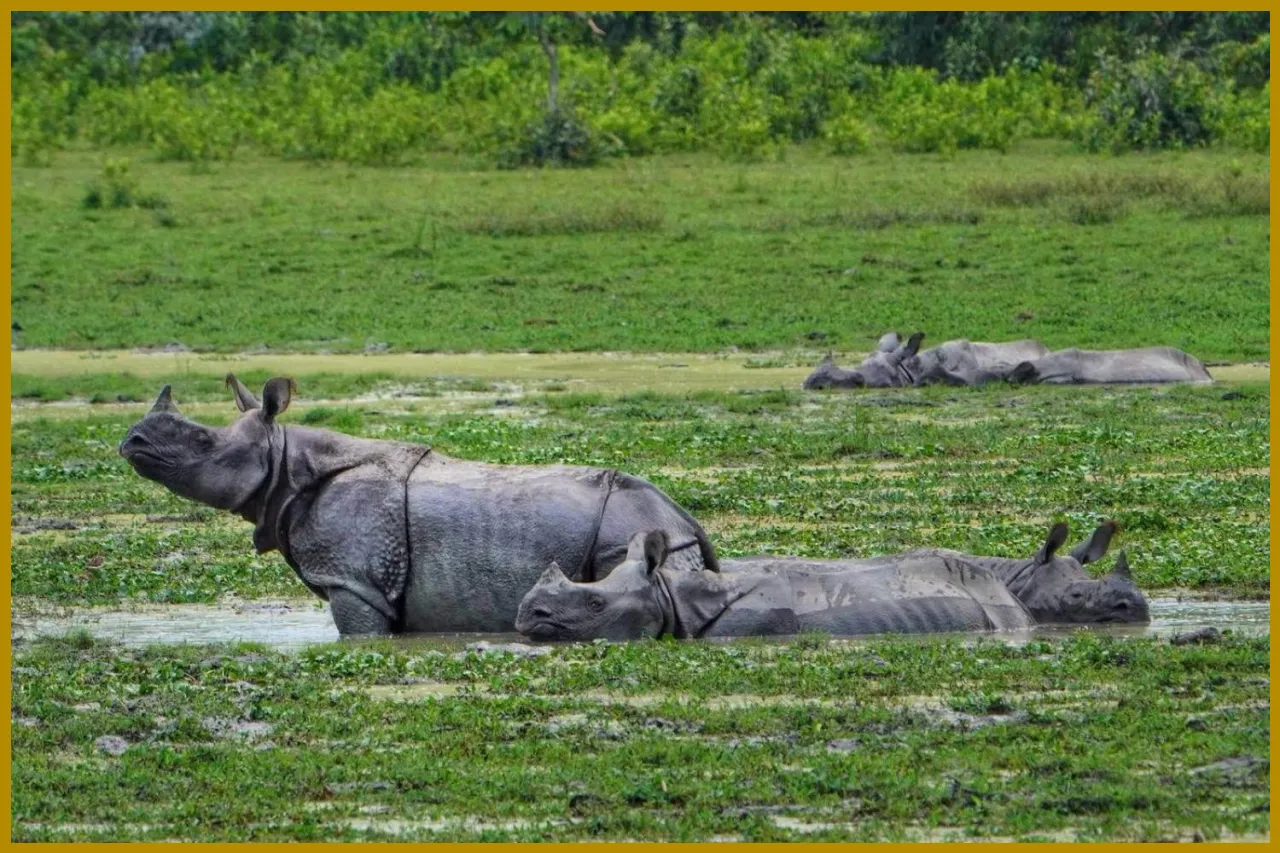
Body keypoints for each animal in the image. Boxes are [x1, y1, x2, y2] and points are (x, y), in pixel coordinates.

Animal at [118, 376, 719, 636]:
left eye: (202, 442)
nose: (131, 442)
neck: (287, 460)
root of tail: (682, 517)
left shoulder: (355, 580)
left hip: (630, 531)